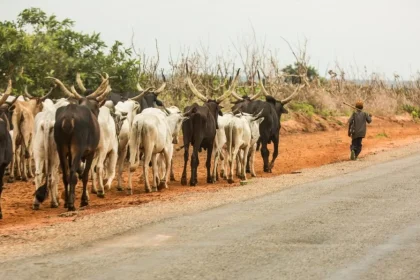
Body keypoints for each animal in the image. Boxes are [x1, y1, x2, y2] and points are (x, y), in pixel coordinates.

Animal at [44, 75, 110, 211]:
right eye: (97, 107)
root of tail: (68, 118)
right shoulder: (91, 151)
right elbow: (85, 175)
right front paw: (84, 200)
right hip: (77, 149)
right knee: (73, 174)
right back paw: (71, 204)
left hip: (61, 149)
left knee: (66, 175)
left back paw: (66, 202)